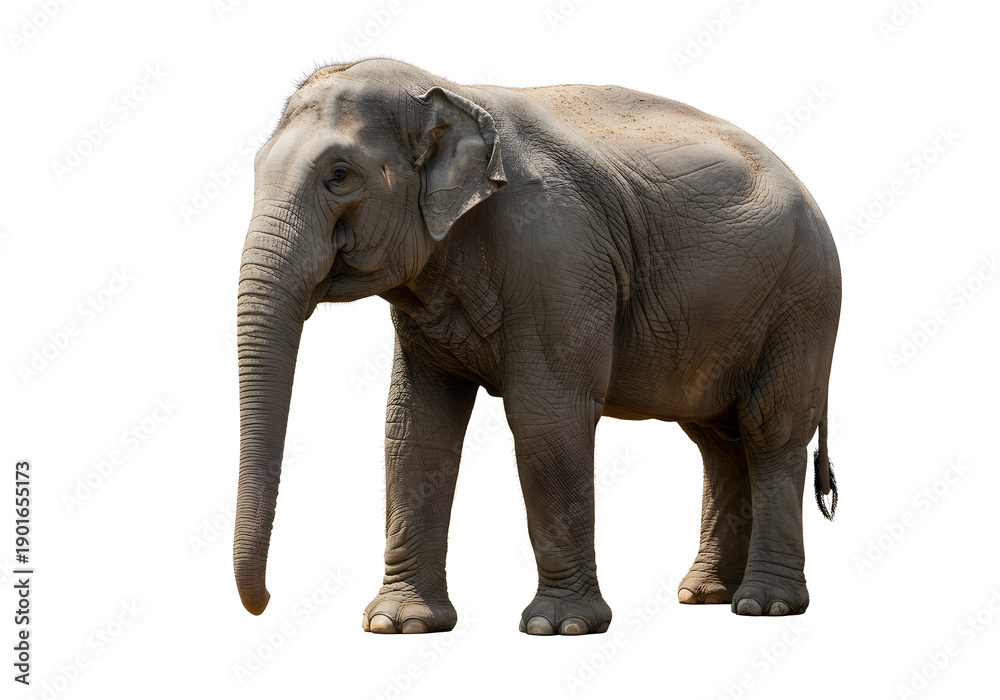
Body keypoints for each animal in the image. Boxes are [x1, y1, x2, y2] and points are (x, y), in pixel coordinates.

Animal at [234, 58, 841, 635]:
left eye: (340, 176)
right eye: (256, 169)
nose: (263, 603)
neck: (450, 89)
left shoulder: (557, 253)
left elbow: (546, 415)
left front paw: (559, 626)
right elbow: (415, 426)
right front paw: (399, 624)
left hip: (803, 301)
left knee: (770, 429)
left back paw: (765, 605)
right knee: (717, 438)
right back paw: (704, 594)